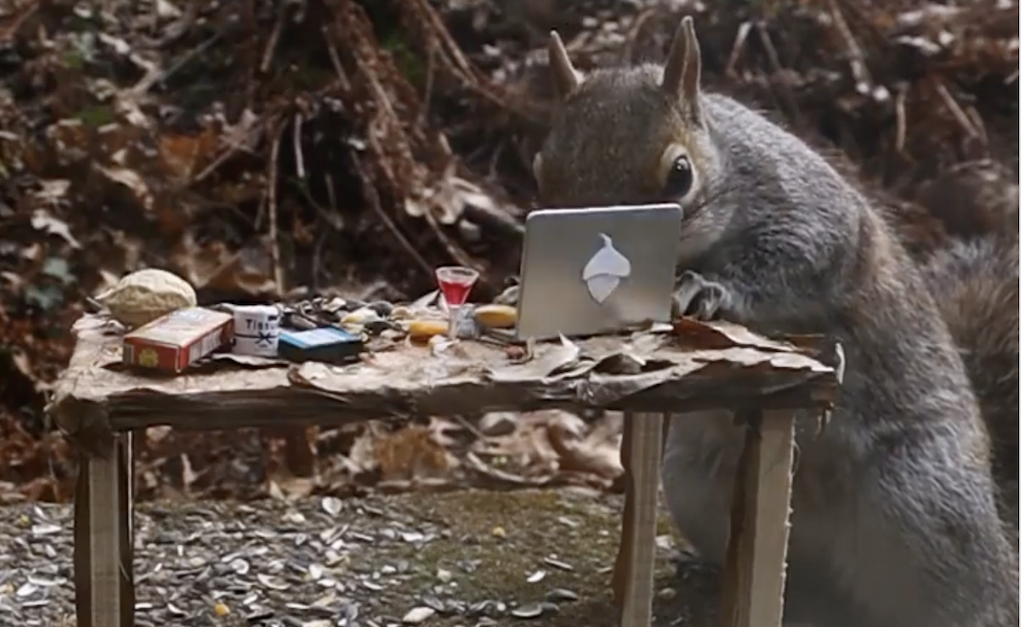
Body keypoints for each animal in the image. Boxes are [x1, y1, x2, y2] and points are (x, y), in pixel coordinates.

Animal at [524, 17, 1019, 627]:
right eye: (540, 171)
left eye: (680, 174)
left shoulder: (808, 213)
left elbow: (795, 258)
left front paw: (708, 289)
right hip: (695, 484)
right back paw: (715, 573)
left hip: (926, 501)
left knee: (974, 593)